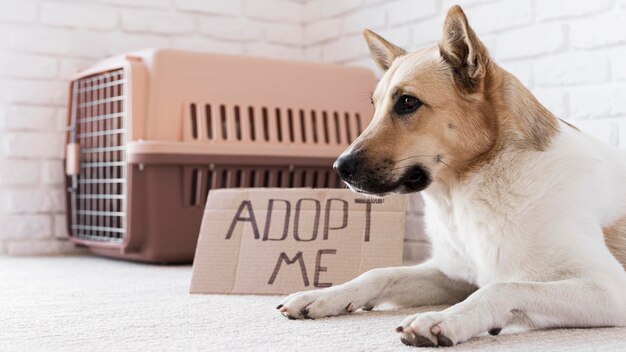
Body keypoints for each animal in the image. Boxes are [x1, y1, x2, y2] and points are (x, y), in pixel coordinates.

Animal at [276, 4, 624, 348]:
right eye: (374, 105)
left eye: (407, 102)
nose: (339, 168)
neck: (463, 194)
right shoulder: (452, 275)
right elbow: (380, 273)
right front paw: (323, 296)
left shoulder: (609, 289)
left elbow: (503, 287)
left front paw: (444, 319)